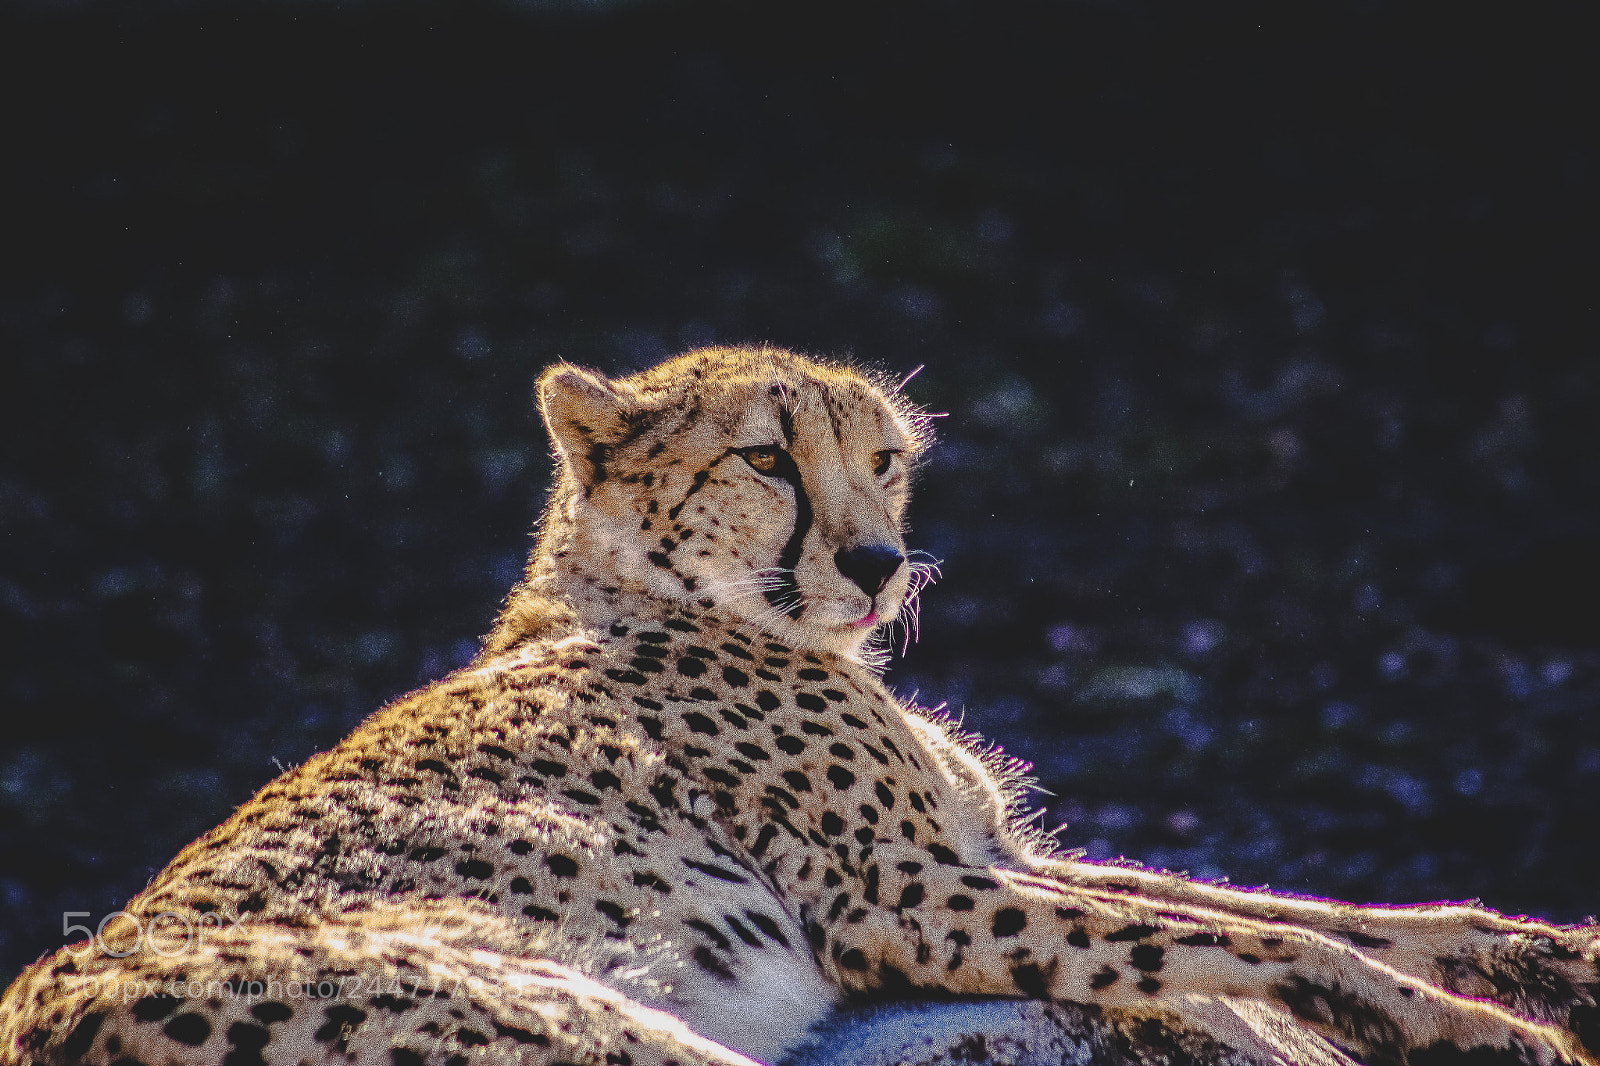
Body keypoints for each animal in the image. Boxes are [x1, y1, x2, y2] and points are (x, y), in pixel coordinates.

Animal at [5, 345, 1599, 1066]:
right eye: (768, 458)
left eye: (884, 458)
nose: (881, 560)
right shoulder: (909, 896)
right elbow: (1241, 940)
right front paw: (1476, 1029)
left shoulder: (984, 850)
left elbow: (1295, 912)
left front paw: (1541, 959)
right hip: (582, 1027)